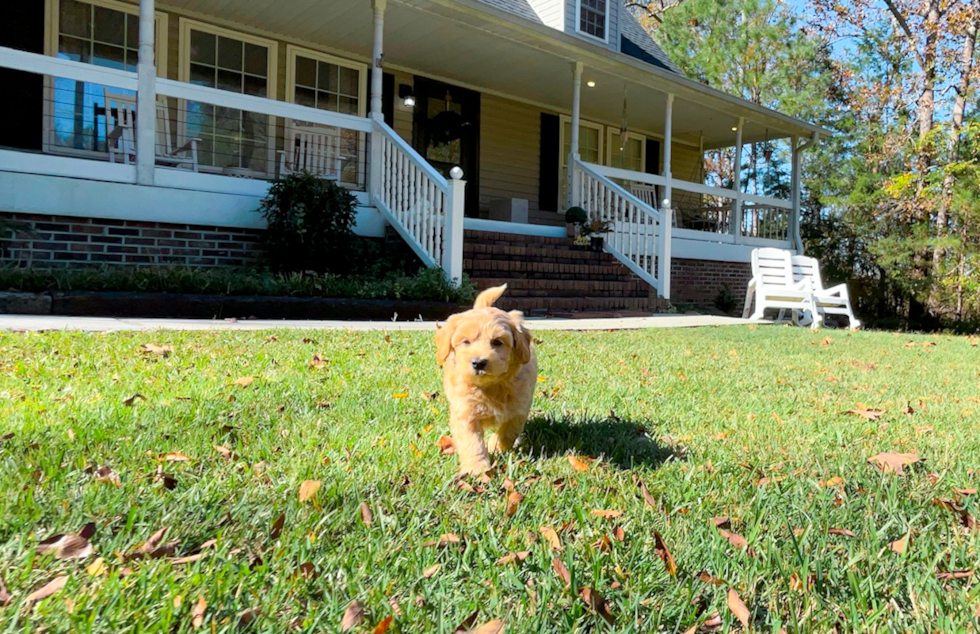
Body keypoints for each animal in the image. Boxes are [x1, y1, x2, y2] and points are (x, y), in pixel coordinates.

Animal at [438, 284, 540, 472]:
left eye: (497, 342)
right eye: (465, 342)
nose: (478, 363)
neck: (491, 387)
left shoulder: (519, 408)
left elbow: (509, 431)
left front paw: (495, 447)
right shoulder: (465, 413)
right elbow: (472, 443)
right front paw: (477, 468)